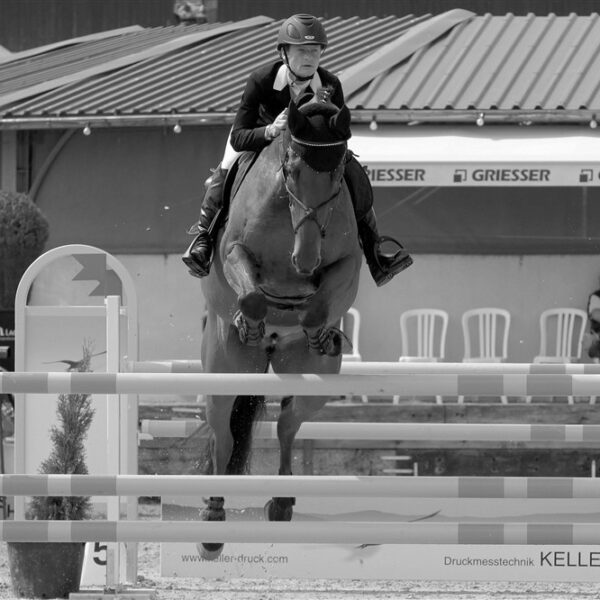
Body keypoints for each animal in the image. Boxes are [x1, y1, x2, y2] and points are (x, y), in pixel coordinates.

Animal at [198, 97, 362, 559]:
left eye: (339, 173)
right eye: (289, 170)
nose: (305, 262)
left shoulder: (348, 266)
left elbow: (319, 305)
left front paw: (317, 329)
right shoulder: (233, 251)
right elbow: (251, 294)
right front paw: (251, 322)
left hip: (313, 381)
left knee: (288, 423)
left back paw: (283, 503)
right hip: (225, 371)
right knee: (223, 435)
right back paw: (212, 520)